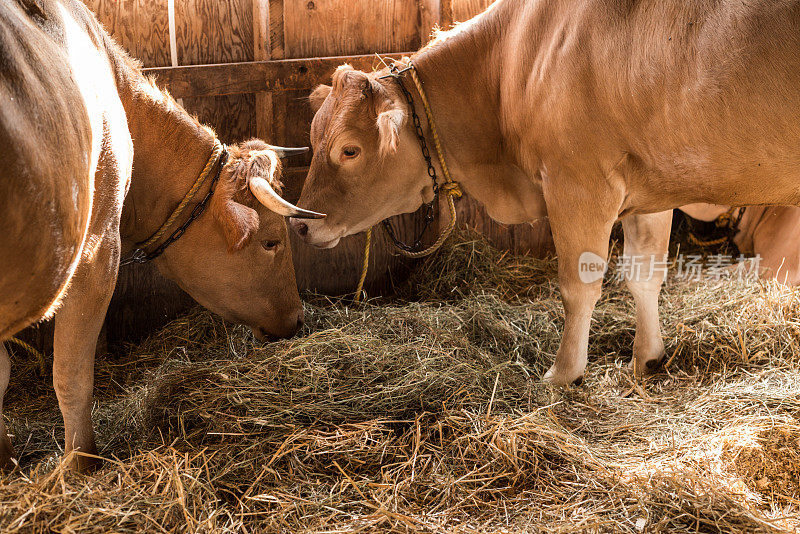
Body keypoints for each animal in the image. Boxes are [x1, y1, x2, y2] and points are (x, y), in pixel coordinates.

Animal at [294, 0, 800, 386]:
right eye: (314, 139)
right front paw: (647, 358)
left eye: (349, 149)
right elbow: (644, 275)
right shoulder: (649, 189)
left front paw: (564, 373)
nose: (300, 223)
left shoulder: (578, 184)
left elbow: (579, 286)